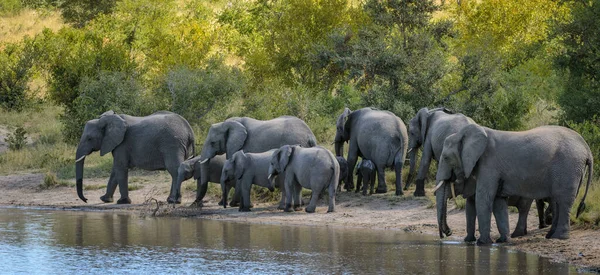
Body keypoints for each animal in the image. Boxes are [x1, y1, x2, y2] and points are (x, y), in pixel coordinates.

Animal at [434, 124, 592, 245]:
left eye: (446, 157)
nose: (448, 233)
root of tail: (587, 149)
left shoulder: (489, 164)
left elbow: (483, 199)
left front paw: (482, 243)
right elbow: (498, 202)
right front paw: (502, 241)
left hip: (568, 166)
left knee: (563, 200)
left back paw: (559, 237)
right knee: (558, 201)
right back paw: (550, 236)